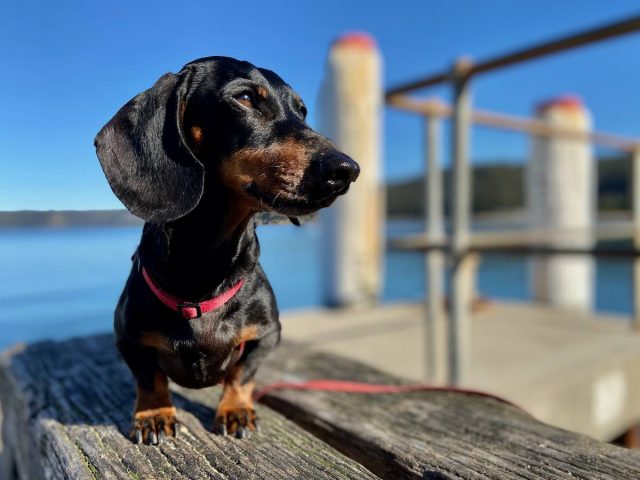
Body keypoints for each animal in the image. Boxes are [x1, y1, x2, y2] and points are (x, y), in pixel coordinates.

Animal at [97, 57, 362, 446]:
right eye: (246, 98)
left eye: (302, 111)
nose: (347, 170)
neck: (208, 262)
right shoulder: (127, 338)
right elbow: (149, 379)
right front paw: (153, 414)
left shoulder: (266, 335)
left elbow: (241, 375)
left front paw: (235, 409)